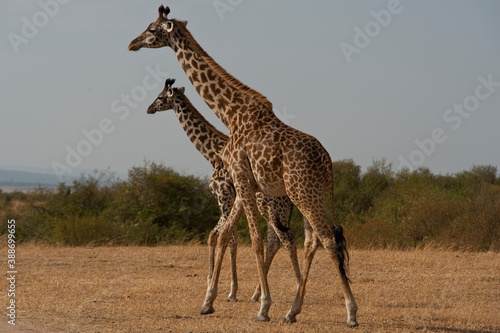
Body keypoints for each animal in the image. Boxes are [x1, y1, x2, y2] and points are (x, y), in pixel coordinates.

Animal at [145, 78, 300, 304]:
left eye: (160, 97)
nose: (149, 108)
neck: (212, 153)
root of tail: (289, 193)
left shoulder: (224, 197)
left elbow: (225, 239)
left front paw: (229, 291)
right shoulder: (228, 202)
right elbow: (218, 236)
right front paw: (215, 283)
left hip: (269, 207)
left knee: (285, 239)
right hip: (274, 210)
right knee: (274, 241)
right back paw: (257, 294)